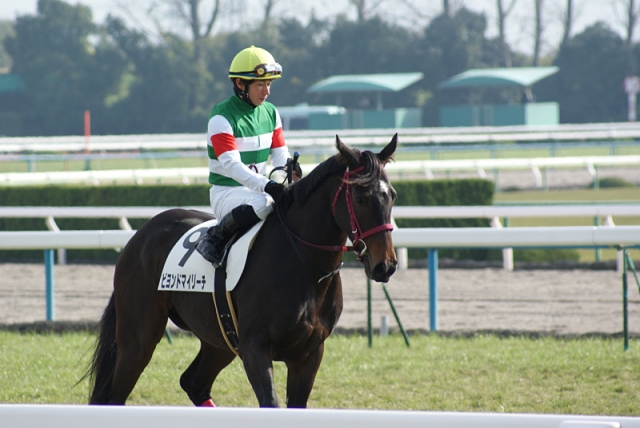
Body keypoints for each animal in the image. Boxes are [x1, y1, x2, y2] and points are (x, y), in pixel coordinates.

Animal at [86, 134, 398, 407]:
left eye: (392, 195)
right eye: (360, 197)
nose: (385, 265)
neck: (305, 266)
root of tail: (140, 236)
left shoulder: (310, 353)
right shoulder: (255, 348)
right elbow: (270, 402)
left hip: (219, 340)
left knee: (194, 383)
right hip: (138, 339)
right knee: (117, 395)